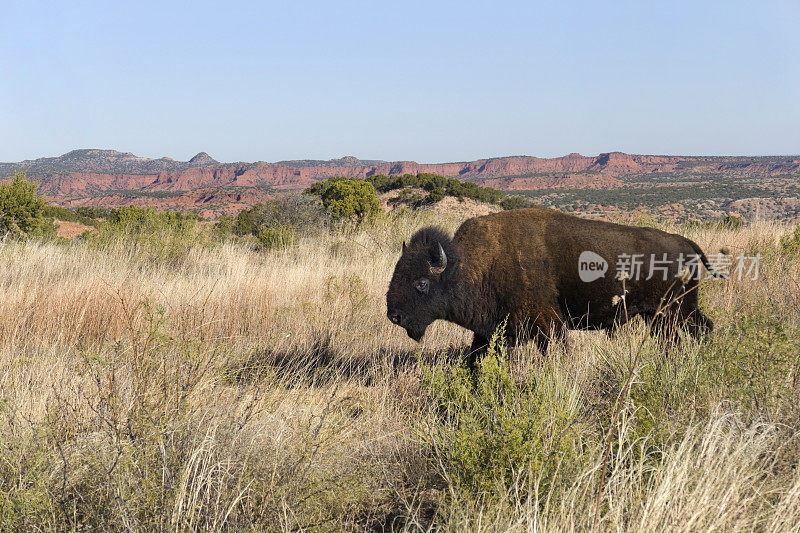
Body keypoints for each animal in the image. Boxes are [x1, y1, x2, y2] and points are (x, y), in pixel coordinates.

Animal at [384, 209, 720, 370]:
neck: (474, 264)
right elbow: (476, 358)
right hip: (664, 315)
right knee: (692, 332)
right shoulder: (489, 331)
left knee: (697, 331)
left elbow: (555, 351)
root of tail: (683, 242)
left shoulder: (548, 325)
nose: (394, 315)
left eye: (421, 282)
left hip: (674, 311)